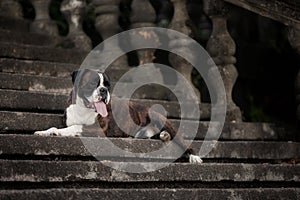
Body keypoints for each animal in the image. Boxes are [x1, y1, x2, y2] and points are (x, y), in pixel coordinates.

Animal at [35, 68, 203, 162]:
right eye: (92, 83)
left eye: (108, 85)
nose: (104, 90)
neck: (83, 108)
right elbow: (61, 126)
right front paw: (45, 132)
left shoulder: (96, 130)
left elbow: (75, 127)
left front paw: (56, 132)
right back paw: (164, 136)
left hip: (165, 122)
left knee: (185, 143)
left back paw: (193, 156)